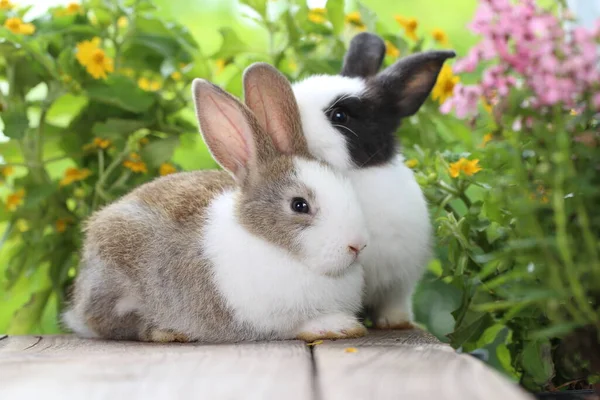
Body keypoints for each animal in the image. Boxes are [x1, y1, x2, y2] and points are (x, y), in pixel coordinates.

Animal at [62, 63, 370, 344]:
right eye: (299, 205)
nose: (357, 246)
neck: (269, 243)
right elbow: (294, 325)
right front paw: (336, 326)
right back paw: (166, 331)